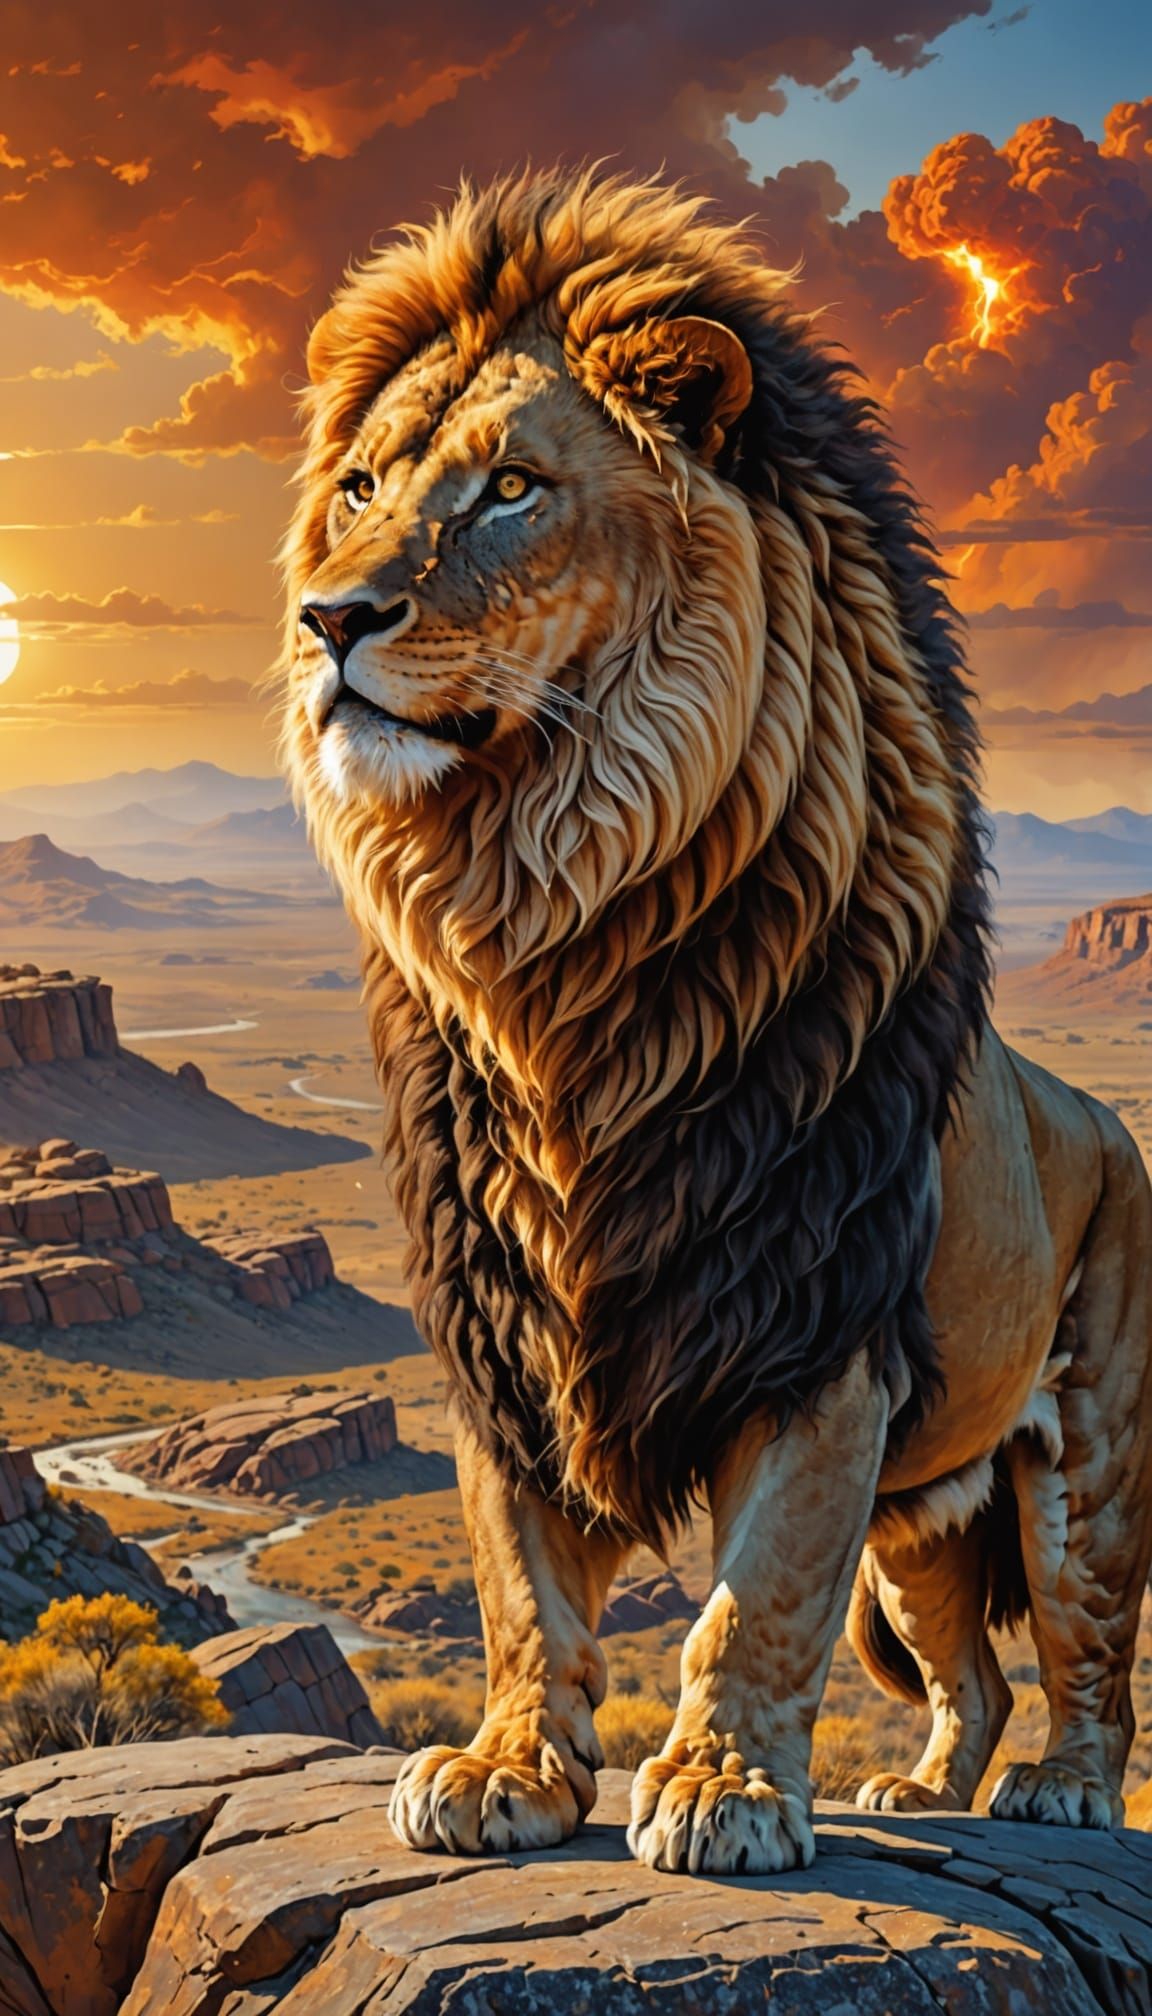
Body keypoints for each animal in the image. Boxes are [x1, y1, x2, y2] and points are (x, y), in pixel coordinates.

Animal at [279, 167, 1152, 1876]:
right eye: (358, 488)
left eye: (511, 490)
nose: (330, 616)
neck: (556, 931)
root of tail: (1100, 1114)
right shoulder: (505, 1331)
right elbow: (522, 1586)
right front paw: (503, 1771)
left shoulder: (815, 1323)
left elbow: (762, 1589)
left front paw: (724, 1790)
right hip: (928, 1514)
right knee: (965, 1671)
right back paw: (922, 1793)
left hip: (1089, 1447)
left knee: (1086, 1649)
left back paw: (1065, 1791)